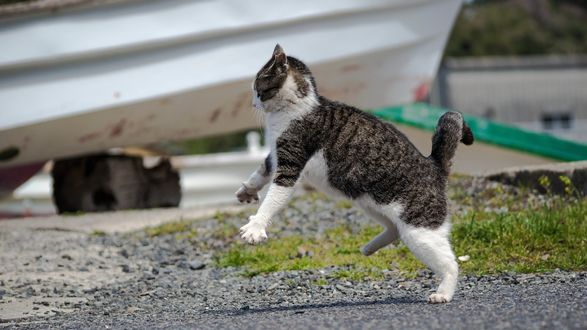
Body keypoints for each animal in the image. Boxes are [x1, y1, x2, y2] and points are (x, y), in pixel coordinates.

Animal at [234, 44, 474, 304]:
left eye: (257, 88)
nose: (253, 103)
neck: (299, 106)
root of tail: (435, 165)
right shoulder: (276, 156)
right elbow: (261, 170)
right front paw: (247, 190)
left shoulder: (290, 164)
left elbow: (273, 199)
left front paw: (256, 227)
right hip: (371, 204)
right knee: (394, 230)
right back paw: (369, 247)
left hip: (420, 231)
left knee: (450, 263)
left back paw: (443, 293)